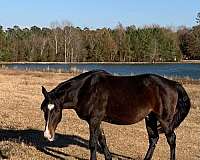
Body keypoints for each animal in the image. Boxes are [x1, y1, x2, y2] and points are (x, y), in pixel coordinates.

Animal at [40, 69, 191, 159]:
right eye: (44, 110)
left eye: (56, 110)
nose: (47, 135)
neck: (86, 89)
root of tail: (174, 84)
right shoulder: (96, 121)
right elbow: (102, 141)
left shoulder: (94, 120)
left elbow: (93, 144)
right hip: (150, 118)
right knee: (154, 139)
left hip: (165, 120)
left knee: (171, 140)